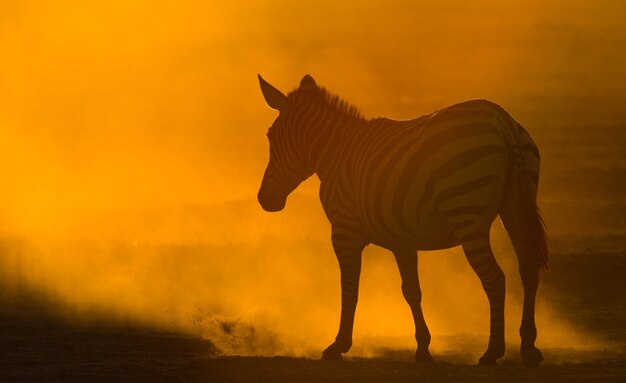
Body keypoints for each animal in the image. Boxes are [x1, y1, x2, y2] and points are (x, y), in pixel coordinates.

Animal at [254, 75, 544, 368]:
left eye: (270, 136)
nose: (264, 200)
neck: (336, 154)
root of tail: (501, 119)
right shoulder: (401, 239)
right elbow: (412, 291)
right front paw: (423, 349)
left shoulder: (344, 232)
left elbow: (350, 288)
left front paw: (338, 346)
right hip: (516, 208)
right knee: (529, 268)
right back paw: (529, 347)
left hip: (467, 215)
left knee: (495, 278)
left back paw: (492, 351)